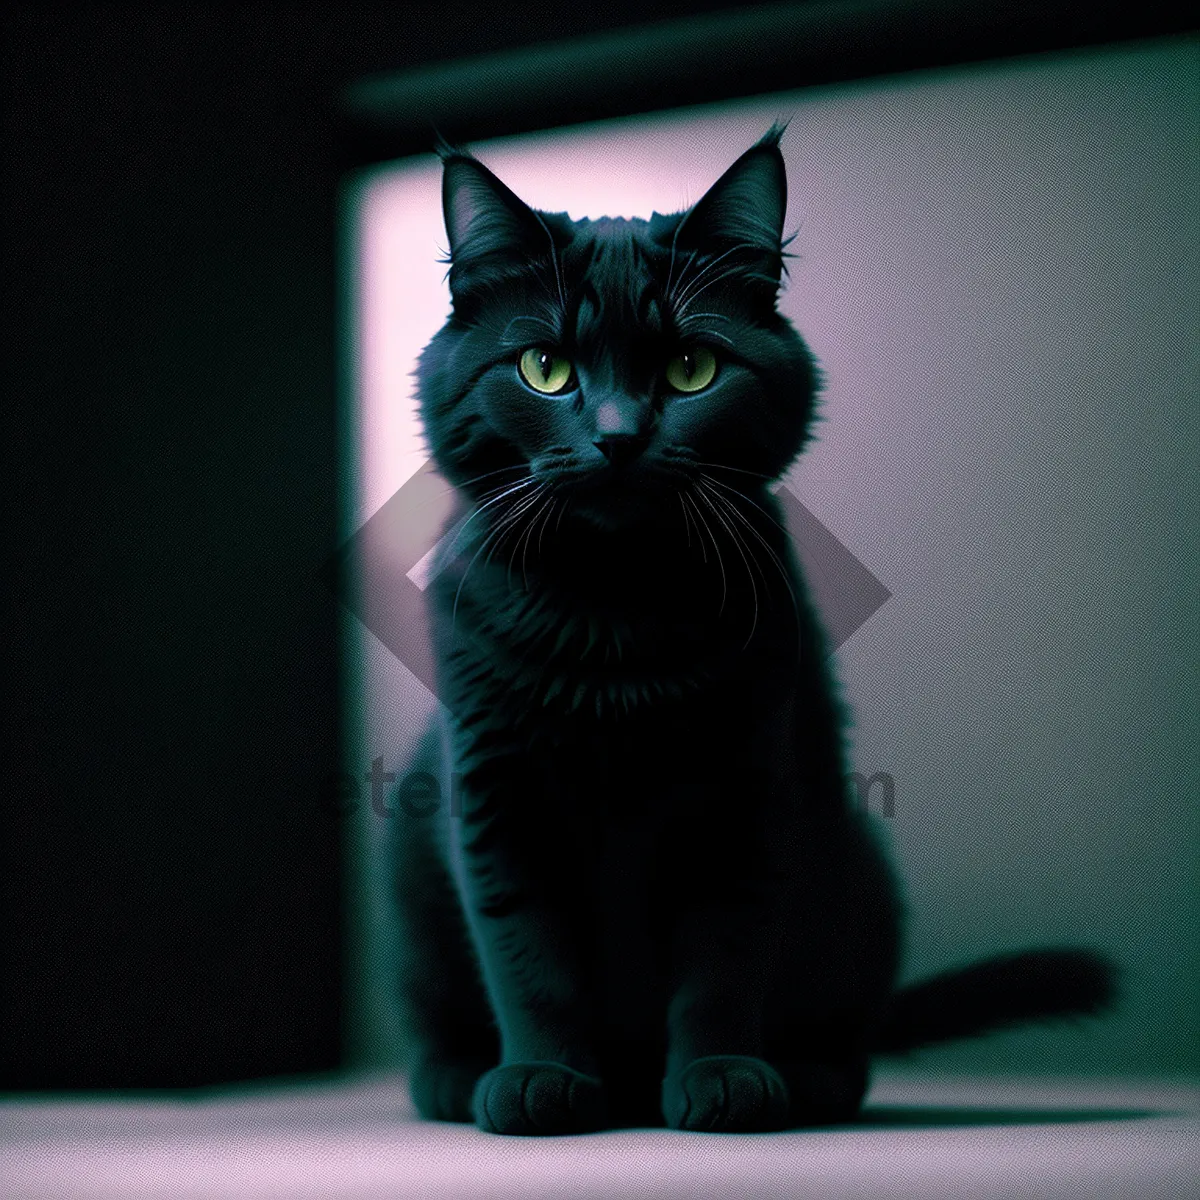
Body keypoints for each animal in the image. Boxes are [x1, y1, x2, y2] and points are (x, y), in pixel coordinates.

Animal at [393, 129, 1113, 1132]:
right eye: (545, 368)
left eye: (692, 369)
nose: (618, 435)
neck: (615, 611)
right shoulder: (498, 798)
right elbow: (529, 961)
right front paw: (541, 1079)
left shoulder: (750, 788)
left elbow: (723, 965)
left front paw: (723, 1078)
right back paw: (461, 1079)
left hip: (858, 872)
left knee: (849, 1044)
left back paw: (802, 1076)